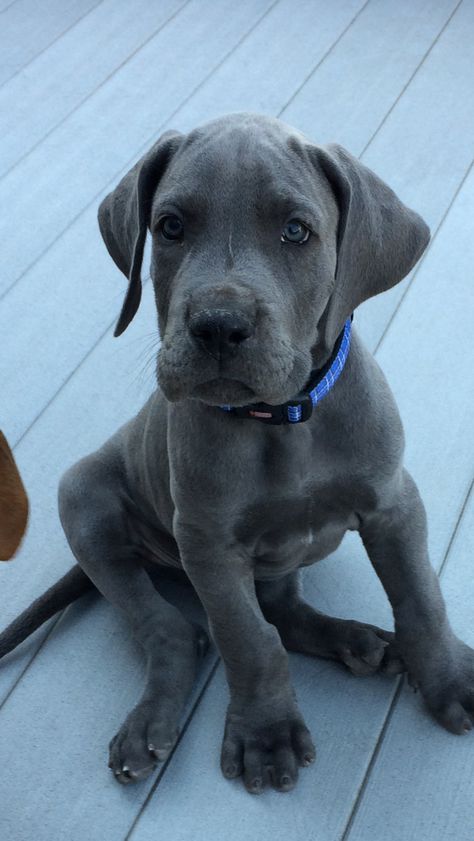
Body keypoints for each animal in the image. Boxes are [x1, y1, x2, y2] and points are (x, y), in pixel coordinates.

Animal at [0, 113, 474, 796]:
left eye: (296, 230)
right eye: (170, 226)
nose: (218, 326)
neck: (284, 419)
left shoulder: (394, 502)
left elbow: (420, 598)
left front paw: (450, 676)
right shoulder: (209, 547)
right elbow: (247, 638)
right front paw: (266, 734)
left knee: (283, 608)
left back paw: (353, 640)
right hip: (82, 496)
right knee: (178, 630)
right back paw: (148, 726)